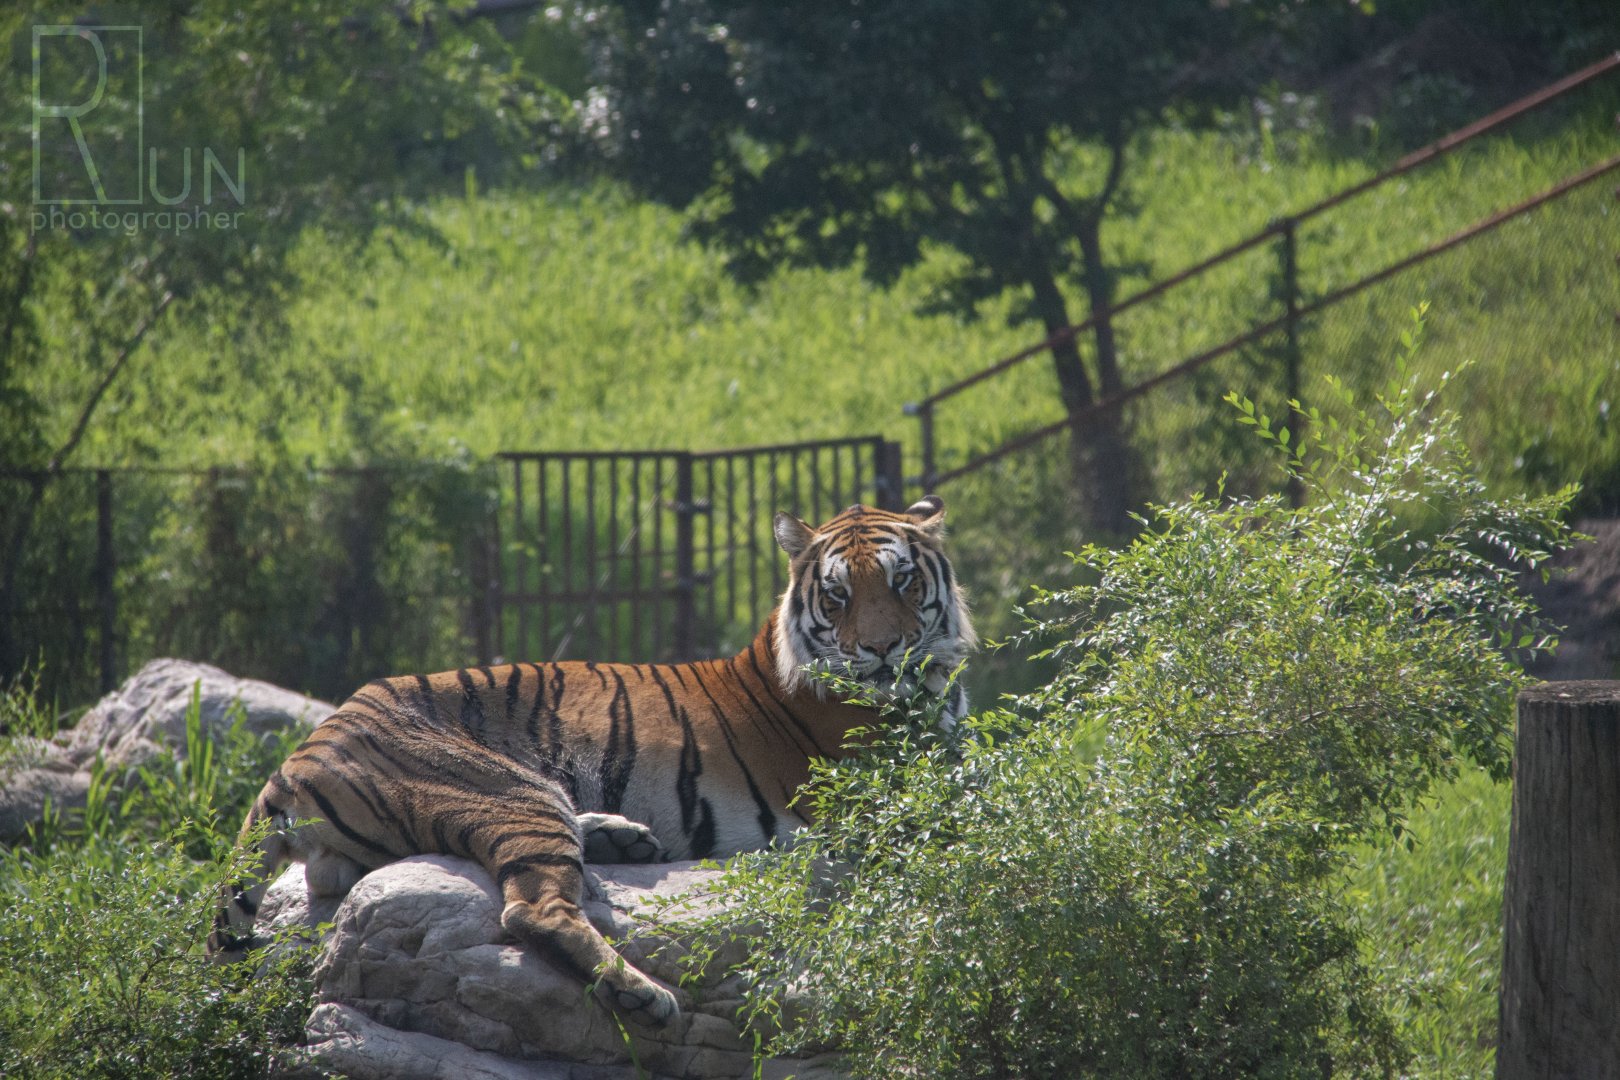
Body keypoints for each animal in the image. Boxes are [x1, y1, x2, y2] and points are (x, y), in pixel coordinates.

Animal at [209, 495, 973, 1026]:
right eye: (837, 595)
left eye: (903, 582)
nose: (880, 650)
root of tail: (299, 756)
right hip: (508, 790)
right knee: (534, 910)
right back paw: (645, 995)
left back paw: (627, 837)